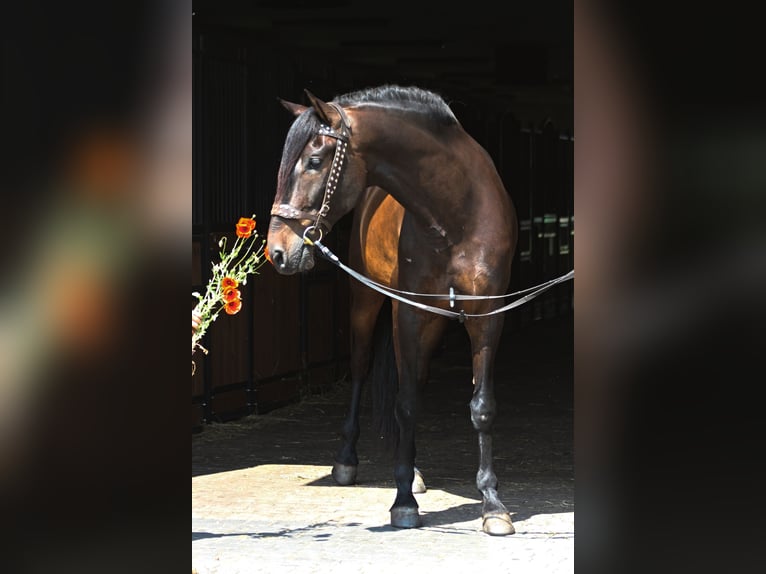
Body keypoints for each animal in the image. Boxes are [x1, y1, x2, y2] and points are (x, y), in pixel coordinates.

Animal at [266, 84, 518, 536]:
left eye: (314, 161)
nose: (277, 251)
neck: (454, 214)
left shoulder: (487, 316)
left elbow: (482, 407)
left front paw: (492, 504)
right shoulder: (409, 313)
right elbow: (405, 403)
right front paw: (402, 501)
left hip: (435, 321)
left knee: (416, 379)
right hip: (367, 304)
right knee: (363, 369)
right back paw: (351, 462)